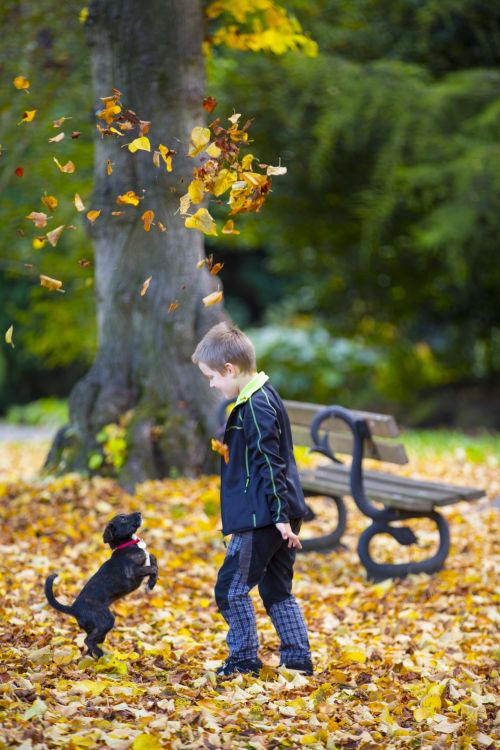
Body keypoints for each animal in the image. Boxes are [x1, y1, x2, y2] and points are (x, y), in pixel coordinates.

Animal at [45, 512, 158, 656]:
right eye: (122, 518)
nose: (139, 513)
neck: (126, 544)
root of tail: (73, 609)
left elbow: (153, 559)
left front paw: (152, 583)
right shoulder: (133, 571)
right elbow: (153, 568)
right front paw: (150, 584)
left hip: (97, 628)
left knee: (91, 644)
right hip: (106, 620)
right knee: (88, 640)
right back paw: (101, 656)